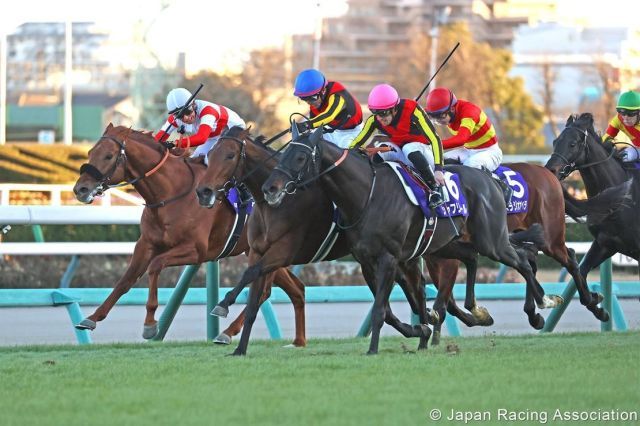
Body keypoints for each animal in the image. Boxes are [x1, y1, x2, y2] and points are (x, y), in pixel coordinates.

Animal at [72, 124, 308, 346]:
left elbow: (155, 266)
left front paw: (150, 324)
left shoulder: (196, 251)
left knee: (266, 291)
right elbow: (126, 280)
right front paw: (92, 318)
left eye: (108, 155)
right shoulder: (146, 244)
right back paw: (293, 339)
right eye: (90, 152)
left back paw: (228, 331)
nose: (80, 189)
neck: (172, 193)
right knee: (294, 288)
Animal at [264, 128, 556, 354]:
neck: (367, 195)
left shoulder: (389, 258)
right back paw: (478, 310)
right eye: (284, 152)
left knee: (522, 260)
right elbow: (387, 310)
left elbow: (381, 309)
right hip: (449, 243)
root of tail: (491, 179)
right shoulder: (366, 261)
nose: (270, 188)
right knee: (480, 257)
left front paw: (374, 349)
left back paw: (542, 305)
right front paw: (420, 329)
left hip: (490, 240)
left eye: (300, 156)